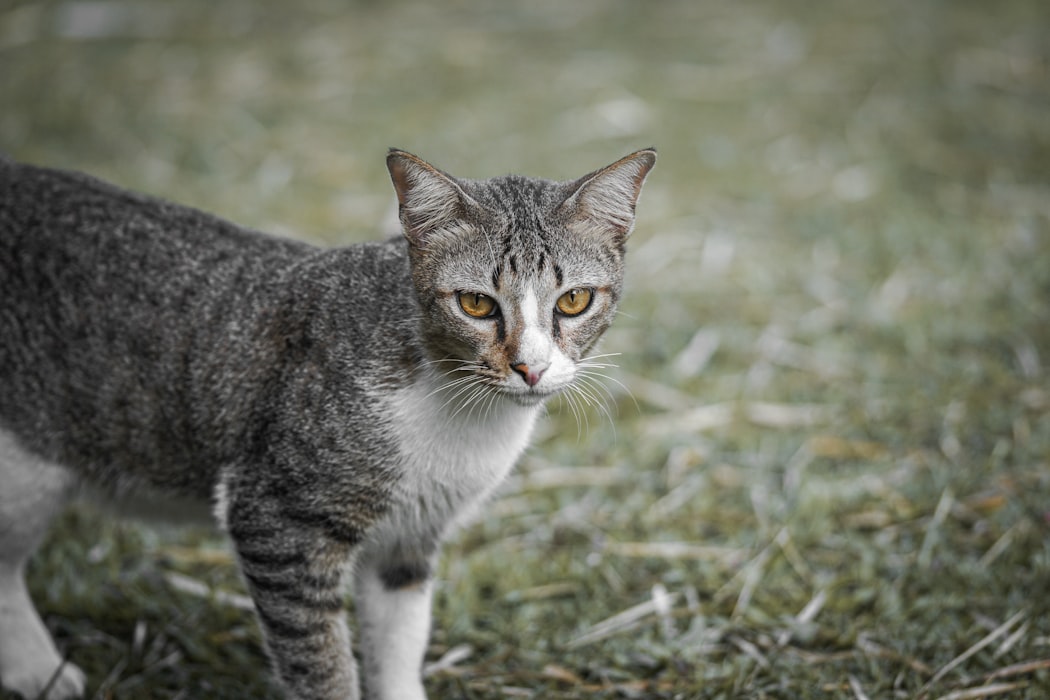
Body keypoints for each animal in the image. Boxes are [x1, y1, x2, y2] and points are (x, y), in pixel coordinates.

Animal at [0, 147, 651, 700]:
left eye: (573, 301)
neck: (463, 413)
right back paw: (39, 670)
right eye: (475, 305)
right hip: (27, 469)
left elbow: (398, 643)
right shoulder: (276, 517)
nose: (531, 367)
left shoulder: (411, 534)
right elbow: (319, 662)